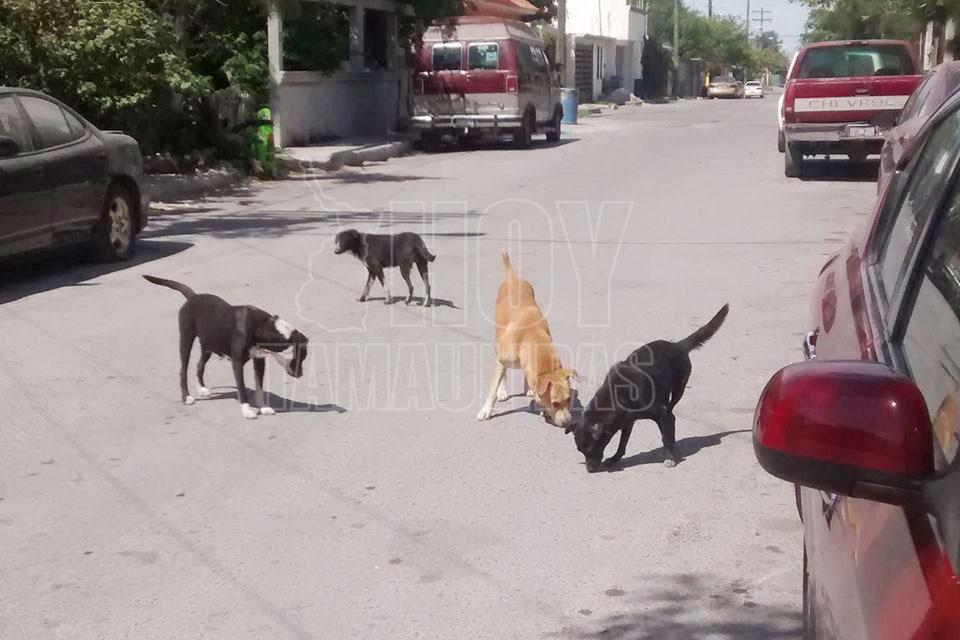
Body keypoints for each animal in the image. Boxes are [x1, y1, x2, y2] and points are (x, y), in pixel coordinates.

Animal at [143, 276, 308, 420]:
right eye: (301, 357)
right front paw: (247, 411)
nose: (301, 375)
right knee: (183, 370)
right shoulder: (237, 363)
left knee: (199, 365)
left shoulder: (259, 360)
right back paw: (187, 397)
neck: (261, 327)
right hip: (186, 340)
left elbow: (259, 387)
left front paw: (263, 407)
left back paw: (201, 388)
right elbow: (242, 388)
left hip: (208, 345)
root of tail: (193, 297)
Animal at [480, 252, 576, 428]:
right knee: (502, 370)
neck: (530, 335)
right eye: (554, 403)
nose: (568, 423)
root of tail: (512, 276)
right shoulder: (502, 358)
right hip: (498, 340)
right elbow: (493, 388)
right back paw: (503, 390)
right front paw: (486, 410)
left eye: (569, 399)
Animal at [564, 306, 728, 476]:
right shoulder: (627, 421)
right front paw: (616, 458)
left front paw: (669, 456)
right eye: (580, 450)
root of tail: (678, 345)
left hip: (678, 389)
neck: (616, 397)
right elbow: (623, 442)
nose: (590, 470)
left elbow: (665, 436)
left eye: (591, 448)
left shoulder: (658, 413)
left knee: (671, 414)